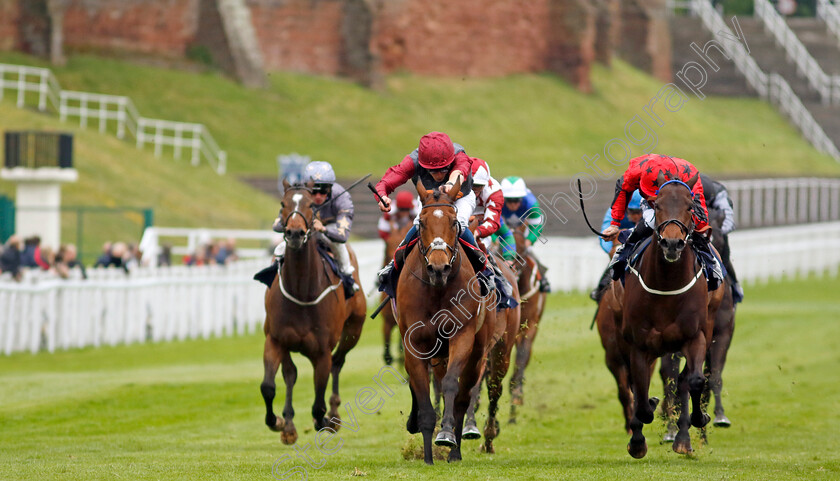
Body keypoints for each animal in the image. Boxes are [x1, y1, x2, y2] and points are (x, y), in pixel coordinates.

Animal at [260, 178, 368, 444]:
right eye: (283, 203)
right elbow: (268, 386)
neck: (302, 291)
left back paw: (334, 413)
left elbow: (318, 404)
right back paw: (289, 425)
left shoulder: (322, 351)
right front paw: (279, 422)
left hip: (353, 331)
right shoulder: (275, 339)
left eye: (311, 205)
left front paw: (325, 420)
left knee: (338, 362)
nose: (295, 233)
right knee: (290, 374)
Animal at [398, 178, 492, 464]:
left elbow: (452, 385)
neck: (436, 289)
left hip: (477, 353)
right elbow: (423, 395)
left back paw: (455, 451)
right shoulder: (414, 345)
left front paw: (447, 434)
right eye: (421, 222)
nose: (439, 268)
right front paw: (428, 456)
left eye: (454, 222)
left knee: (463, 395)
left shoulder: (462, 336)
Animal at [620, 171, 724, 456]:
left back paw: (683, 438)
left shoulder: (695, 336)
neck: (666, 284)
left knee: (686, 378)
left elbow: (696, 380)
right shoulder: (639, 344)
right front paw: (637, 440)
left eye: (690, 207)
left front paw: (700, 418)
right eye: (657, 205)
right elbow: (641, 394)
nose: (672, 243)